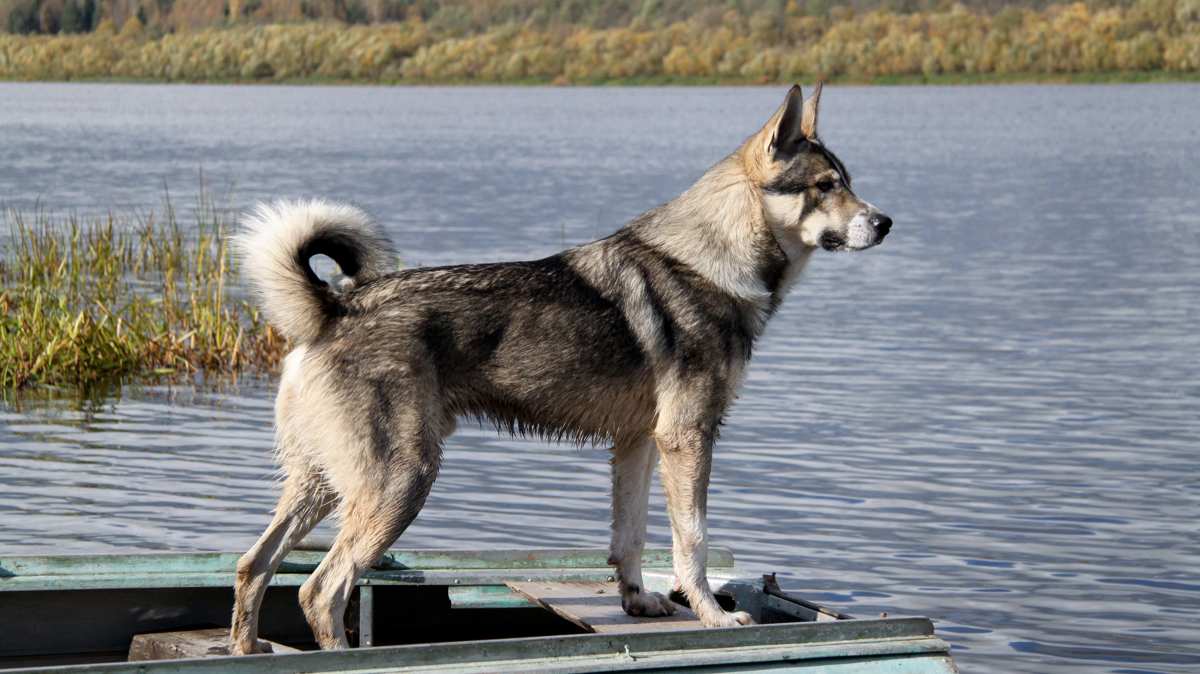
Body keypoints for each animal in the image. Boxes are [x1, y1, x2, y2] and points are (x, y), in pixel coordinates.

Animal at [226, 83, 892, 652]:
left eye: (848, 183)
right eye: (825, 185)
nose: (885, 223)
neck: (713, 258)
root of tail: (333, 307)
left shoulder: (638, 443)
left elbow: (630, 538)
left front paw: (638, 602)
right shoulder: (688, 439)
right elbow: (692, 543)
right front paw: (713, 616)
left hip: (322, 483)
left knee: (255, 564)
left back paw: (246, 649)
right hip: (400, 482)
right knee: (322, 589)